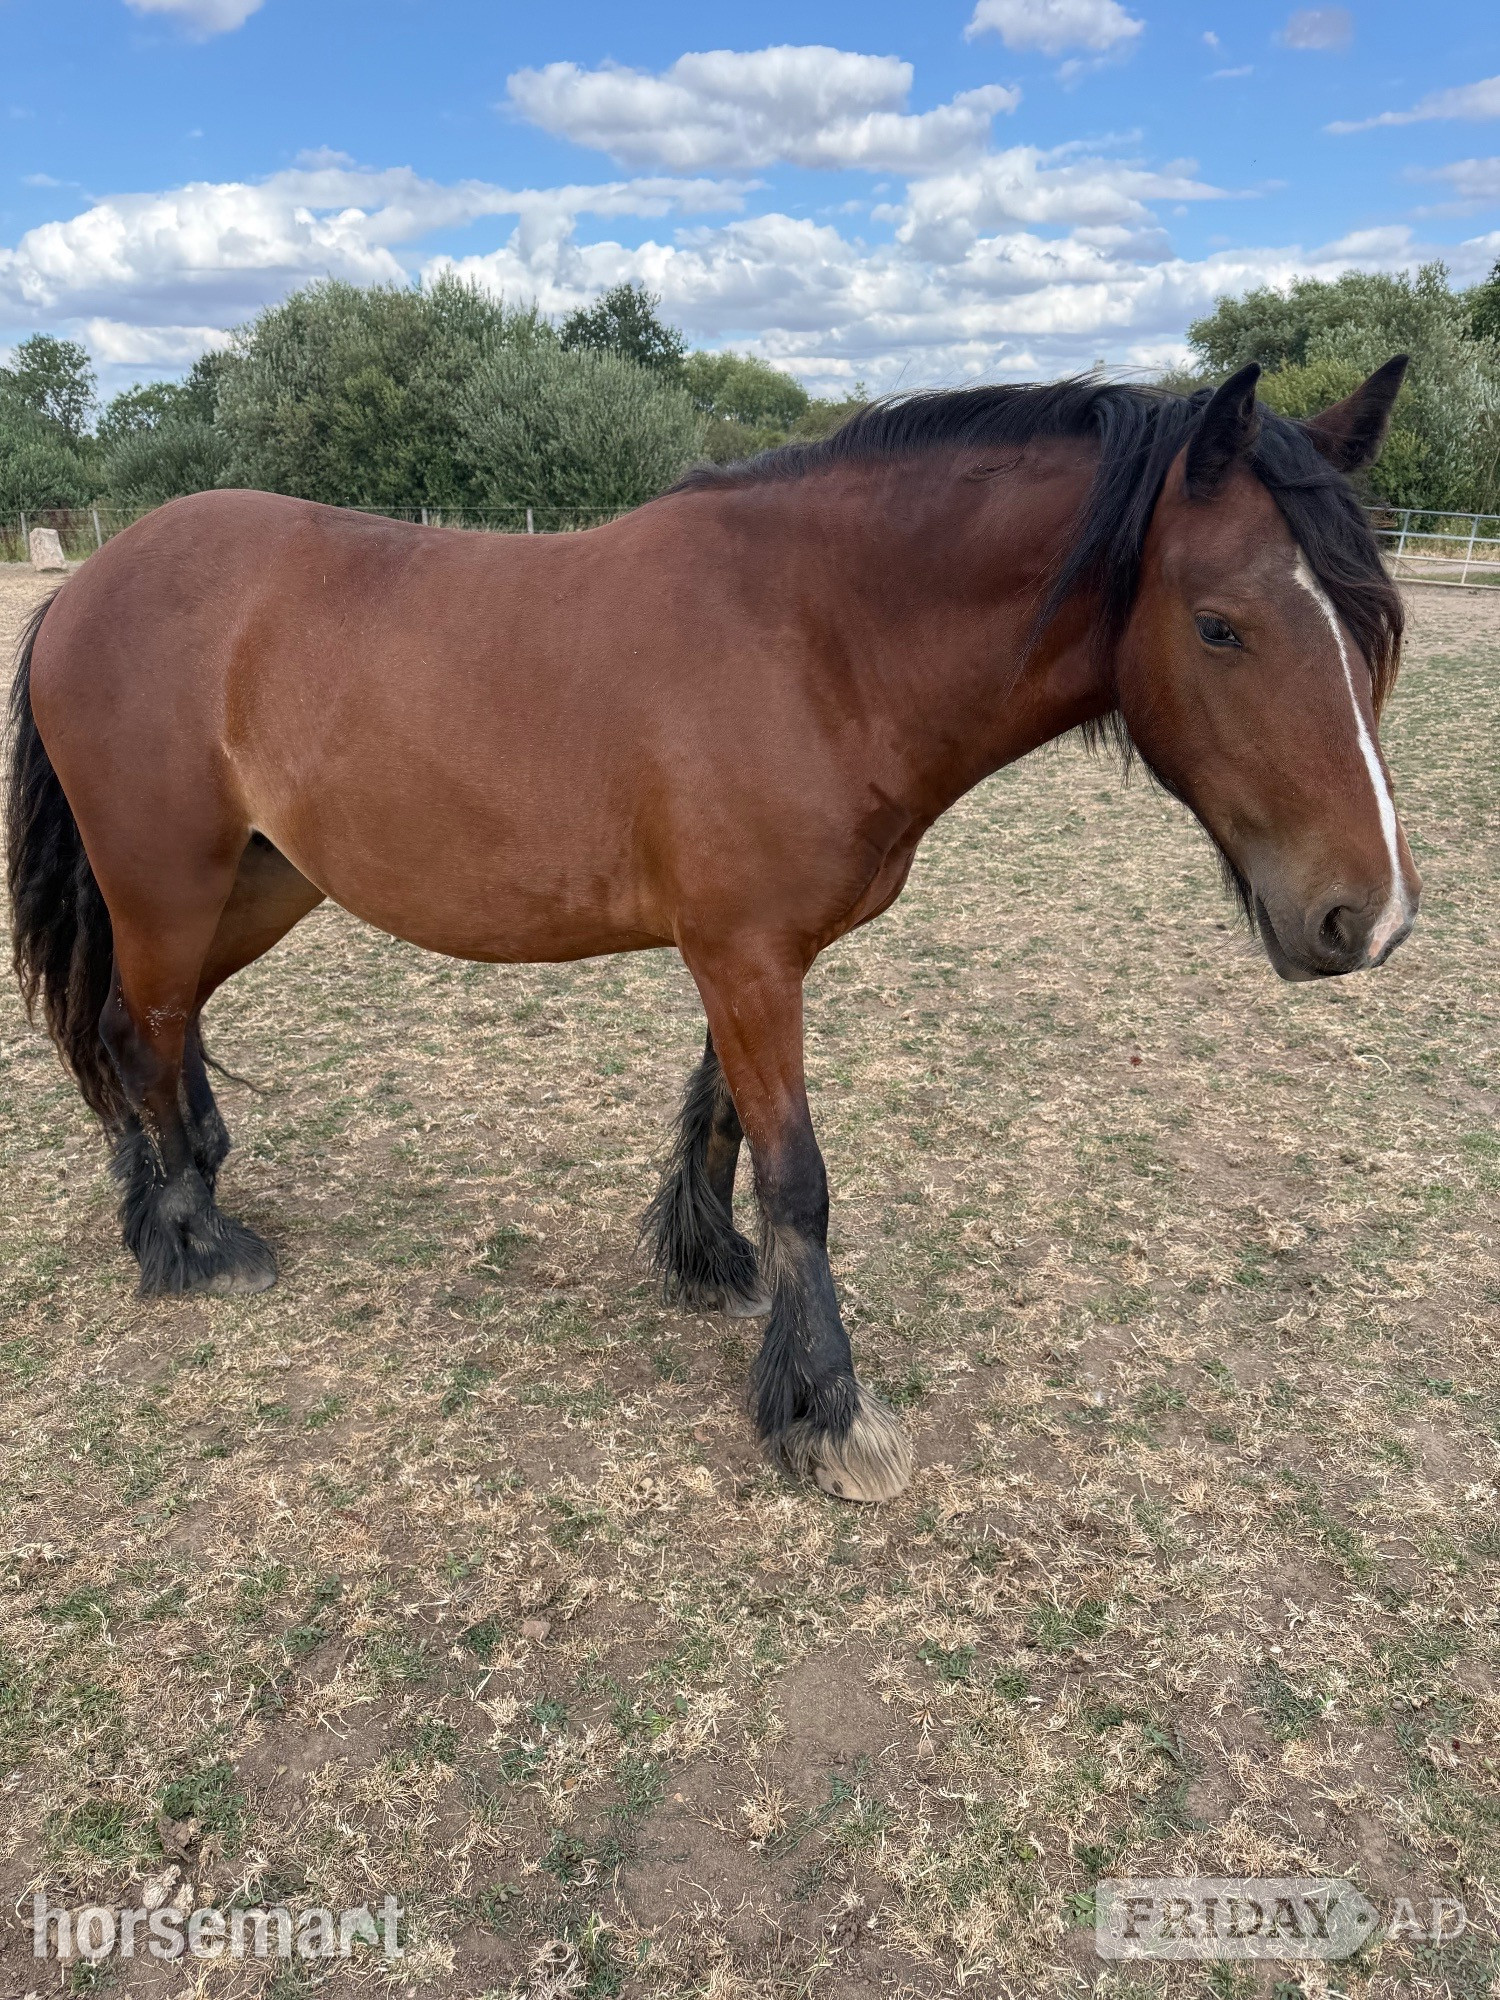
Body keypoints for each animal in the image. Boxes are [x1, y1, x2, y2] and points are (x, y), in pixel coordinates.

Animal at [5, 357, 1418, 1504]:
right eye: (1221, 623)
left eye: (1374, 622)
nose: (1370, 916)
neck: (813, 638)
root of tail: (91, 581)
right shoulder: (745, 956)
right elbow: (800, 1177)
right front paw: (827, 1408)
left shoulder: (752, 956)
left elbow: (726, 1120)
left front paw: (709, 1262)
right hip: (170, 880)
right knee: (139, 1028)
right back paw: (192, 1238)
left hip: (261, 881)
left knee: (157, 1028)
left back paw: (177, 1184)